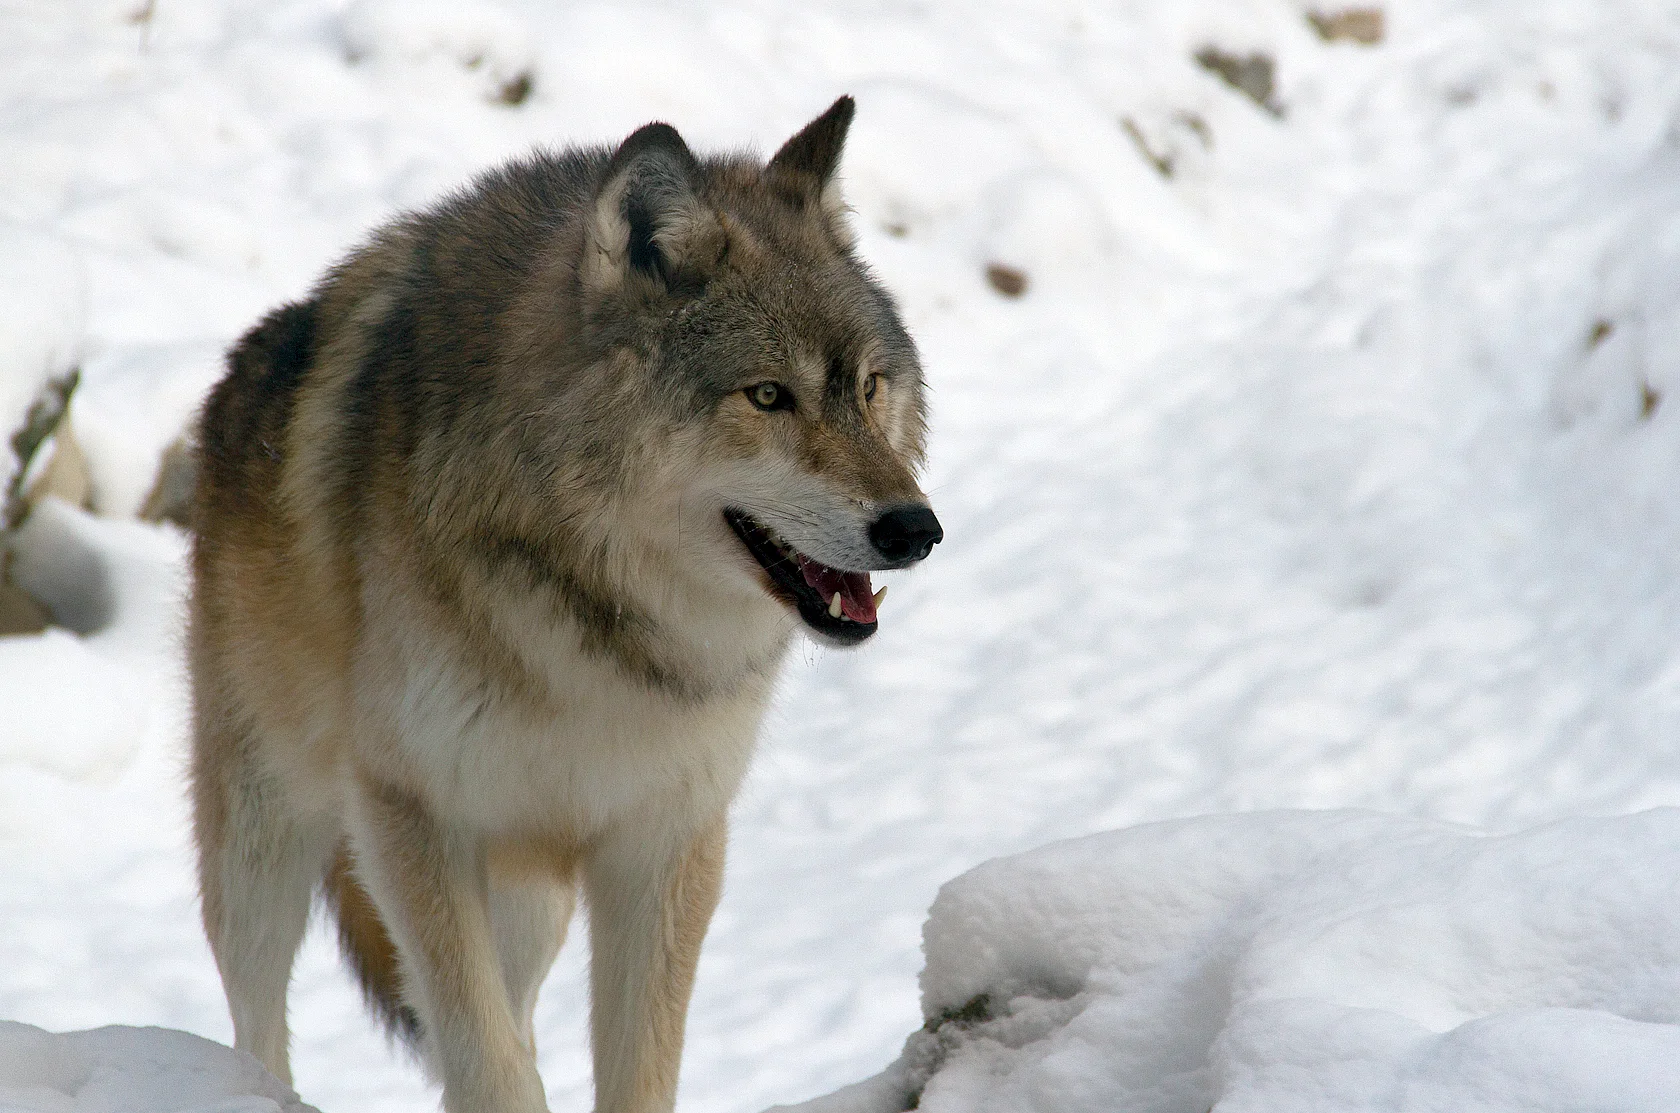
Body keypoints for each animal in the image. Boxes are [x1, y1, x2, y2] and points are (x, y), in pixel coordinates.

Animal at [188, 96, 941, 1113]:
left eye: (867, 386)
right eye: (768, 396)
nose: (915, 527)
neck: (598, 628)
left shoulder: (664, 843)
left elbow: (631, 1068)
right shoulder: (412, 815)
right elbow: (489, 1062)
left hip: (528, 901)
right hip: (267, 836)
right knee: (260, 1018)